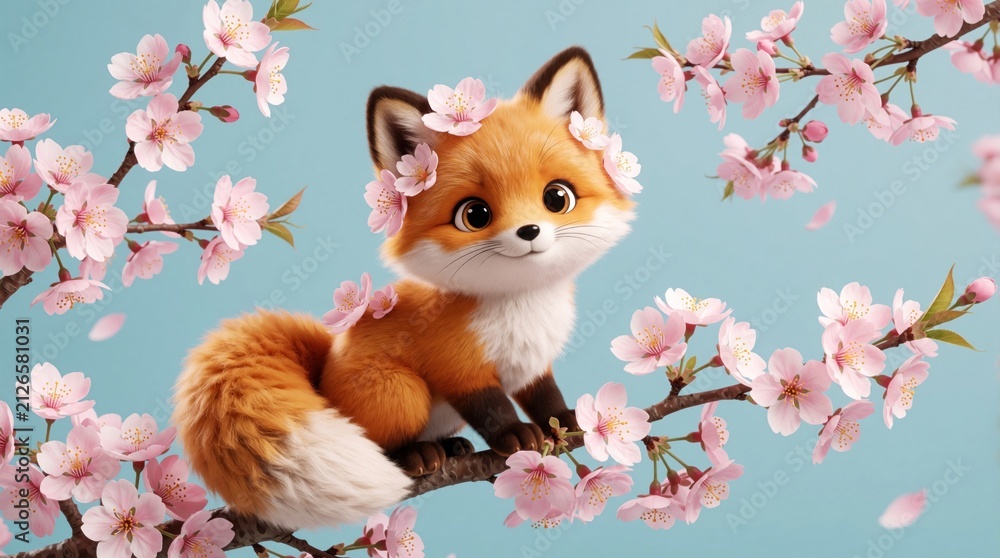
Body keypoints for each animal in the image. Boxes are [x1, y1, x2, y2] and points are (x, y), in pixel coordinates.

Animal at [173, 46, 635, 531]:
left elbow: (547, 398)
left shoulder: (532, 365)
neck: (521, 307)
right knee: (382, 444)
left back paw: (450, 448)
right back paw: (415, 456)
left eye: (557, 197)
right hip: (404, 392)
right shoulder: (459, 369)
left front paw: (568, 422)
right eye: (475, 214)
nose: (529, 231)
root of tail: (321, 378)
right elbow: (492, 408)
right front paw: (514, 434)